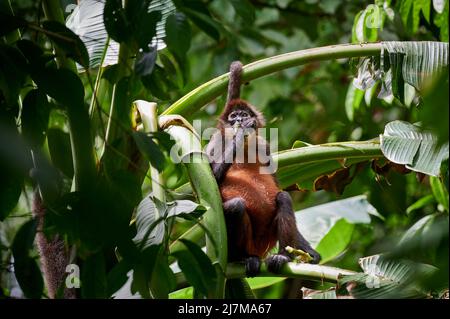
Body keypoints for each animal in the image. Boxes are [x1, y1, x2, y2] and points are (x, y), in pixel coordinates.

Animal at [207, 61, 320, 276]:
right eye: (234, 117)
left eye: (244, 114)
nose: (240, 121)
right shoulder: (216, 141)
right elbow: (212, 181)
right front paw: (241, 132)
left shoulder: (263, 145)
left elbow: (277, 187)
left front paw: (309, 252)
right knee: (237, 206)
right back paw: (241, 258)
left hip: (267, 237)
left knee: (283, 197)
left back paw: (283, 256)